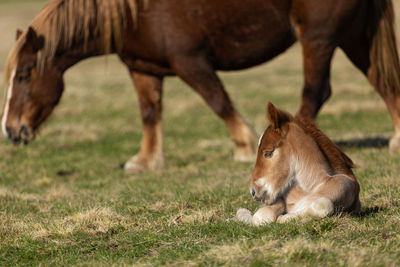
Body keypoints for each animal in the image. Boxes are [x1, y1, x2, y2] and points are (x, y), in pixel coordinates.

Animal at [2, 0, 400, 175]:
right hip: (353, 36)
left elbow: (217, 101)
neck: (133, 10)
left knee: (315, 91)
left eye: (24, 75)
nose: (10, 130)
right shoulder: (143, 69)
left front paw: (244, 147)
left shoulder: (190, 61)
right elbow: (150, 114)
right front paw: (146, 161)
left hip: (318, 39)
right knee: (382, 81)